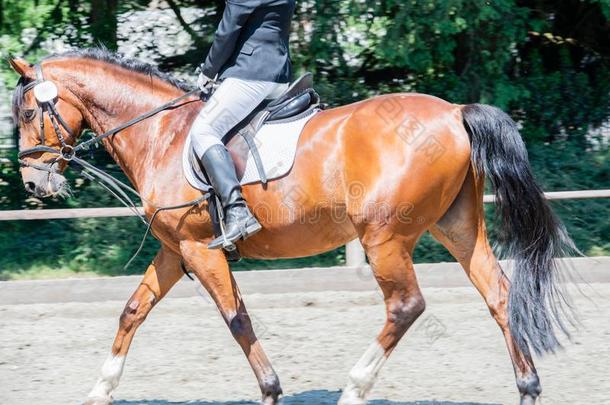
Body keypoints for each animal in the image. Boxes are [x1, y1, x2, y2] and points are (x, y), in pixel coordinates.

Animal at [8, 48, 576, 404]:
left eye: (29, 114)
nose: (34, 184)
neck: (160, 133)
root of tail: (455, 111)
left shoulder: (201, 249)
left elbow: (237, 320)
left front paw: (270, 390)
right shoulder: (176, 250)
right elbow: (132, 310)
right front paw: (100, 390)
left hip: (385, 238)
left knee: (406, 306)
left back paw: (354, 388)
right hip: (456, 226)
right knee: (499, 294)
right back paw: (528, 388)